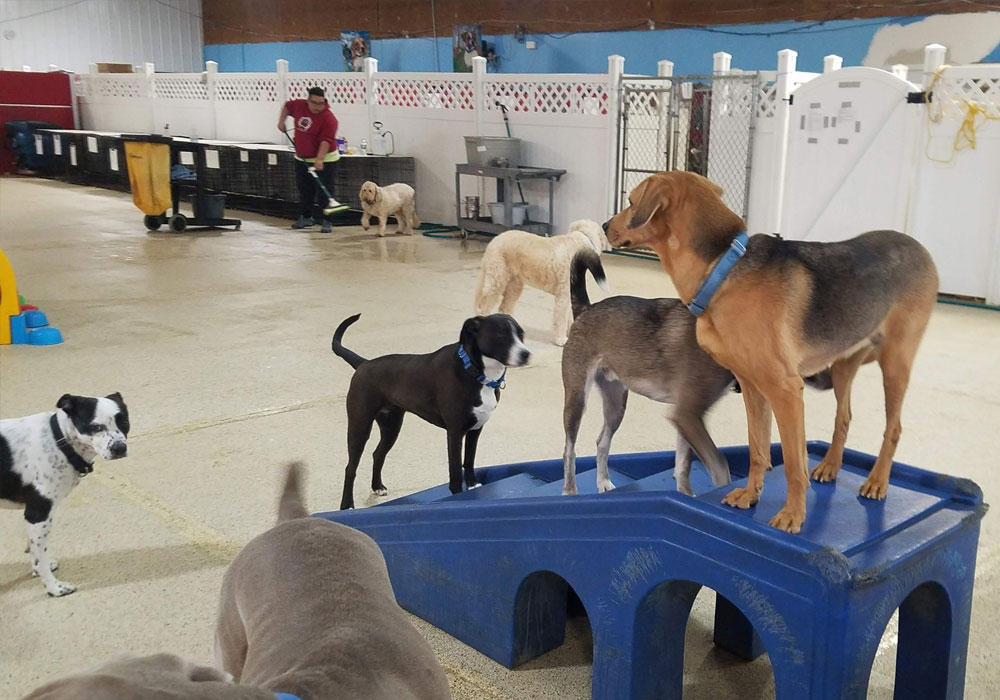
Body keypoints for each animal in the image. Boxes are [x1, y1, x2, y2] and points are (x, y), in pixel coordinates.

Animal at [1, 393, 129, 596]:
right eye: (95, 427)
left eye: (123, 421)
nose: (119, 448)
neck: (58, 441)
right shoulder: (38, 515)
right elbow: (41, 558)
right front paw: (54, 588)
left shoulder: (34, 518)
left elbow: (35, 552)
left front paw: (38, 571)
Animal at [332, 313, 529, 509]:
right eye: (500, 334)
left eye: (521, 334)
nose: (526, 354)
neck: (474, 371)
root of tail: (363, 364)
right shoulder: (455, 432)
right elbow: (455, 470)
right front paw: (458, 495)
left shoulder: (475, 429)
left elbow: (469, 461)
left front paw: (473, 485)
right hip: (360, 427)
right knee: (350, 468)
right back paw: (347, 504)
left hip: (391, 427)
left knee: (378, 454)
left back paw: (377, 486)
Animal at [473, 219, 610, 346]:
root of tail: (493, 241)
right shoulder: (563, 296)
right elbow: (561, 319)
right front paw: (561, 339)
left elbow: (569, 317)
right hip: (496, 281)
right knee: (485, 308)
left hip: (514, 286)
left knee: (504, 307)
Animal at [561, 249, 736, 496]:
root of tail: (585, 309)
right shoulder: (689, 414)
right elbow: (720, 467)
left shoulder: (687, 417)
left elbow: (683, 465)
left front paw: (686, 494)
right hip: (576, 400)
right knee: (569, 450)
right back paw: (570, 491)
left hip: (616, 406)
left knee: (602, 442)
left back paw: (603, 481)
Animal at [606, 171, 938, 533]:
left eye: (631, 202)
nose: (606, 225)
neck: (722, 269)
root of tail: (921, 248)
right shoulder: (753, 387)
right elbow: (758, 449)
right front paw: (750, 495)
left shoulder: (785, 390)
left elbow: (793, 463)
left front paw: (793, 515)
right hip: (843, 365)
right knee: (844, 417)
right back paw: (830, 466)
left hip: (895, 365)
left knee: (893, 428)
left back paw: (877, 481)